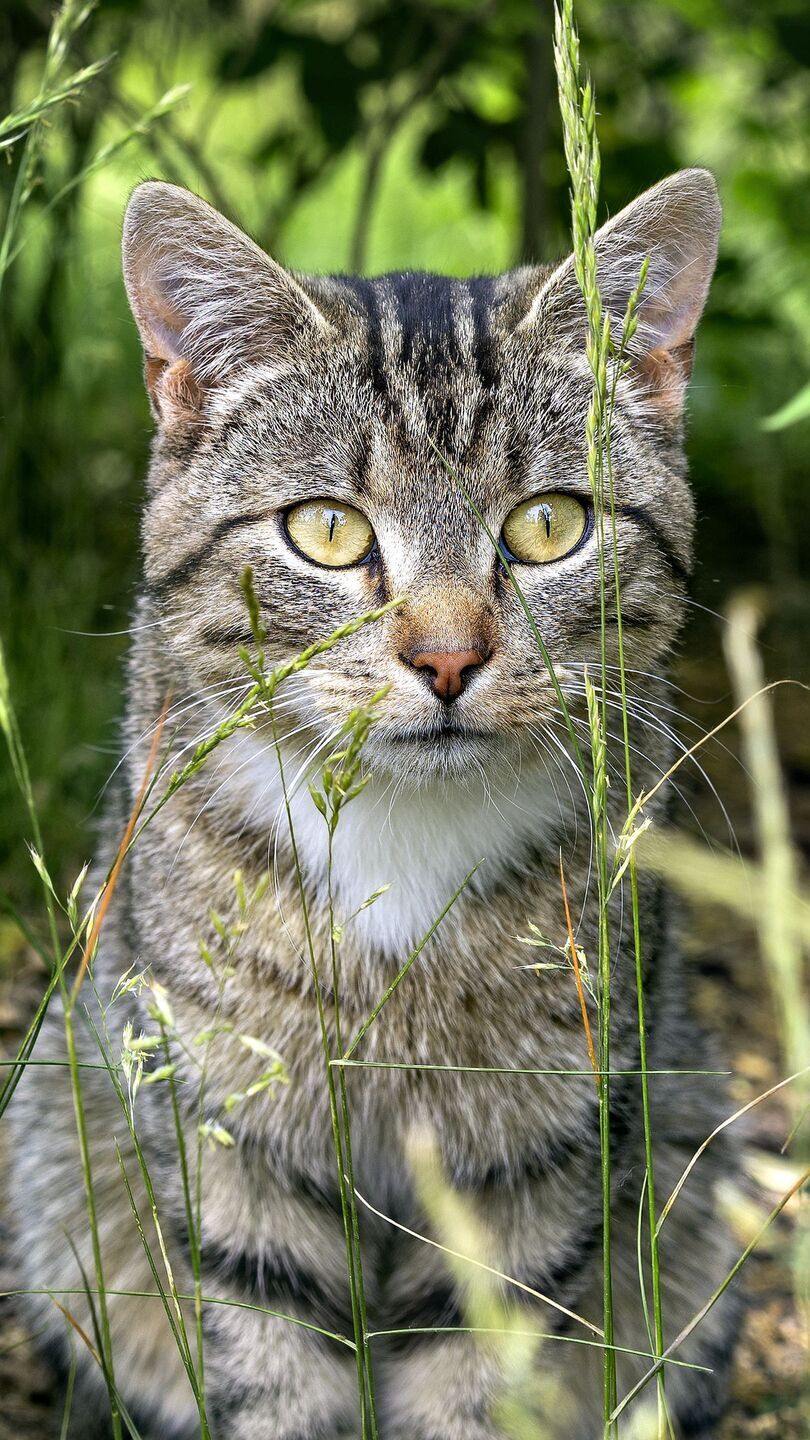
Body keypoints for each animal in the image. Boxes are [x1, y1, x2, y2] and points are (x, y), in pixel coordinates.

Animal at [9, 163, 737, 1434]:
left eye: (550, 524)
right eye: (328, 529)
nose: (448, 659)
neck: (407, 838)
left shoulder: (541, 1151)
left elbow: (475, 1375)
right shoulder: (227, 1136)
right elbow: (272, 1364)